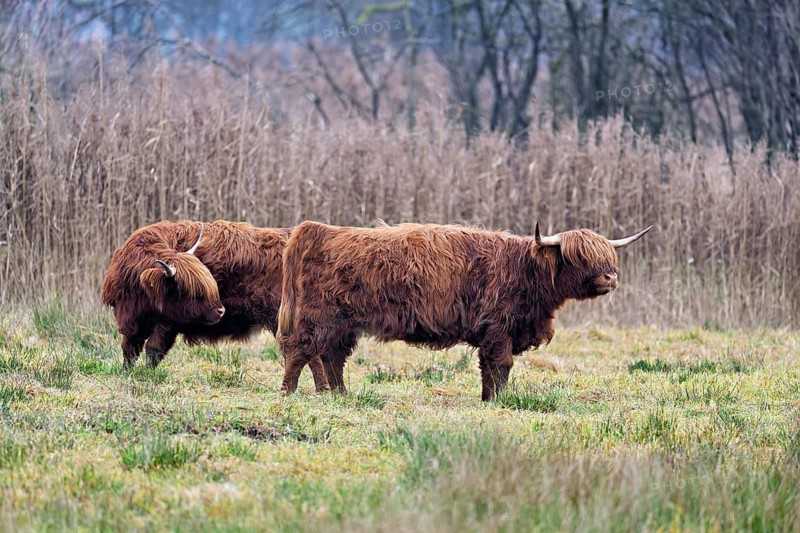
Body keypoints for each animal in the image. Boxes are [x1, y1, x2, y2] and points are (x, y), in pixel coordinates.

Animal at [101, 220, 328, 390]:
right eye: (194, 291)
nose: (220, 311)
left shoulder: (167, 321)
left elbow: (153, 349)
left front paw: (147, 375)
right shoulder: (133, 320)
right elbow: (130, 349)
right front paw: (126, 373)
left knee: (308, 352)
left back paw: (320, 389)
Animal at [277, 221, 651, 401]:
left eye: (608, 256)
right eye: (578, 256)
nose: (610, 277)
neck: (525, 271)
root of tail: (317, 230)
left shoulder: (492, 332)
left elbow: (489, 368)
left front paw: (487, 399)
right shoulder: (499, 328)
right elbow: (502, 365)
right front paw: (499, 400)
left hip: (344, 324)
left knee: (332, 357)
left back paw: (341, 394)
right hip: (318, 318)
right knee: (301, 352)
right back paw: (288, 393)